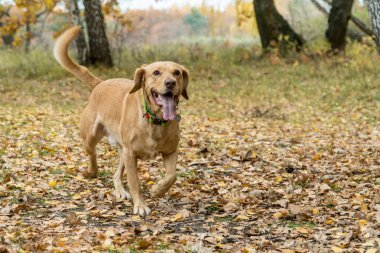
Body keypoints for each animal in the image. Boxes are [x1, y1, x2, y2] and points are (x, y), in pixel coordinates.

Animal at [53, 26, 190, 216]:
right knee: (92, 154)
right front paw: (140, 205)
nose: (170, 83)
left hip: (122, 151)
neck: (154, 121)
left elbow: (171, 176)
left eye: (177, 72)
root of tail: (100, 83)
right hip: (92, 138)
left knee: (116, 174)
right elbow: (135, 182)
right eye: (156, 72)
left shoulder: (170, 151)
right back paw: (92, 171)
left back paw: (119, 190)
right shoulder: (131, 154)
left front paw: (158, 190)